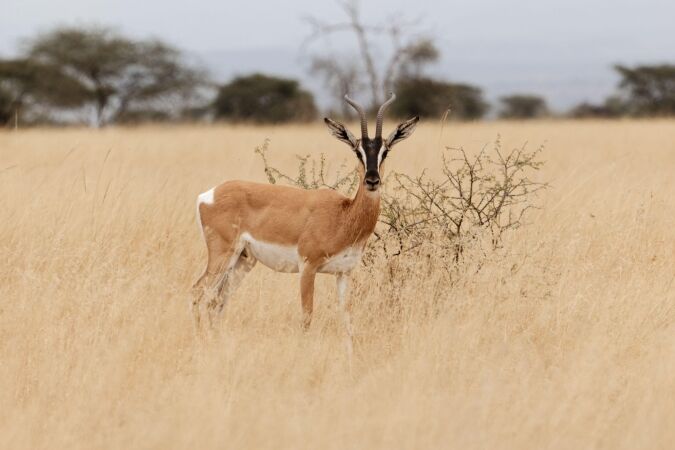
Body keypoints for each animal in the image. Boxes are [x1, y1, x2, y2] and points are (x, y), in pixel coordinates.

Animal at [191, 93, 419, 341]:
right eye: (357, 151)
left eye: (385, 151)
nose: (372, 180)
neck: (343, 215)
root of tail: (209, 194)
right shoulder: (308, 267)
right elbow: (307, 316)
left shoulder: (344, 273)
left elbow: (346, 320)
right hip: (223, 256)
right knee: (198, 292)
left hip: (243, 261)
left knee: (217, 300)